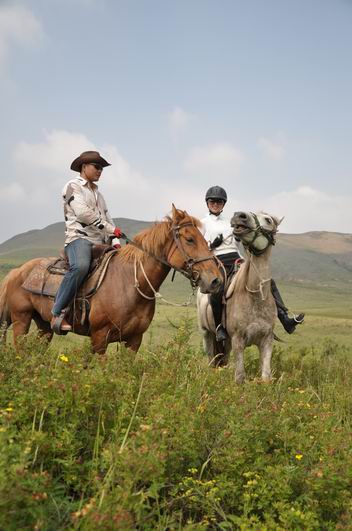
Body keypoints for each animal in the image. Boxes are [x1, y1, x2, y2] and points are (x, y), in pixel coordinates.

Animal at [0, 207, 221, 354]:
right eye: (190, 239)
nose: (215, 280)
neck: (130, 283)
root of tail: (17, 272)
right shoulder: (99, 338)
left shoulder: (133, 340)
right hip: (21, 320)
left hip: (44, 326)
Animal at [198, 211, 284, 382]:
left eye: (268, 220)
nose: (240, 215)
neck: (256, 298)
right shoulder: (238, 340)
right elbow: (239, 377)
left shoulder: (266, 340)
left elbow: (266, 376)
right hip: (207, 333)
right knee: (211, 358)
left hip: (227, 342)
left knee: (223, 358)